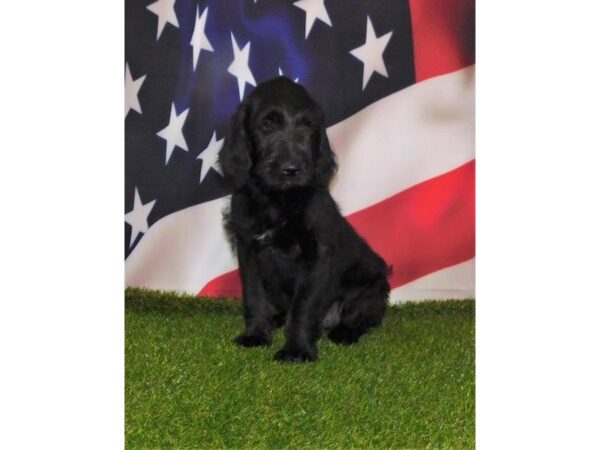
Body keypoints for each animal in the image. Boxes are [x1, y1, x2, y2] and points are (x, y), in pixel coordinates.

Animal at [219, 77, 390, 364]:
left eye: (307, 125)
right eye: (267, 124)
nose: (292, 169)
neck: (278, 200)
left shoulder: (315, 255)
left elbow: (303, 307)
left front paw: (297, 350)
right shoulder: (248, 248)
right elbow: (254, 295)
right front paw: (256, 335)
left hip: (373, 286)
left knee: (361, 318)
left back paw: (344, 333)